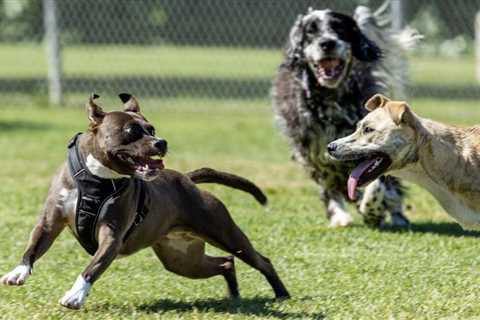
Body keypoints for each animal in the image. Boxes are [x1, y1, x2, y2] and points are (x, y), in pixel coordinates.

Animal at [0, 94, 288, 308]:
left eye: (152, 129)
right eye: (131, 131)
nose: (161, 142)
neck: (96, 177)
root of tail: (187, 180)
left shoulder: (111, 237)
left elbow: (92, 267)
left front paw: (76, 295)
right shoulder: (51, 221)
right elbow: (34, 246)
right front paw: (18, 272)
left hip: (225, 234)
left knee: (261, 260)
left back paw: (281, 294)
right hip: (182, 260)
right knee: (225, 263)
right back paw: (234, 295)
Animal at [272, 5, 422, 228]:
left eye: (339, 28)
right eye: (310, 31)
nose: (327, 43)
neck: (332, 97)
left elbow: (379, 184)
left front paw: (372, 210)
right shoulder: (314, 152)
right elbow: (330, 185)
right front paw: (339, 214)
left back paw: (397, 216)